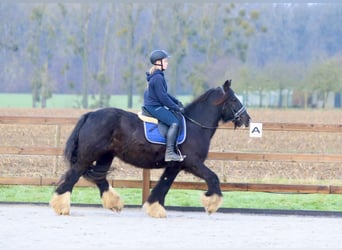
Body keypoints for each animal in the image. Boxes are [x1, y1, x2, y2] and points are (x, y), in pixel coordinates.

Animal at [49, 79, 250, 217]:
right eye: (233, 100)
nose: (247, 119)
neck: (195, 125)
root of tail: (90, 115)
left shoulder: (175, 166)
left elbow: (163, 186)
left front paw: (155, 208)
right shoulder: (193, 163)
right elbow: (213, 178)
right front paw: (211, 202)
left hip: (105, 156)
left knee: (99, 177)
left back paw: (114, 203)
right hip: (87, 157)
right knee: (72, 177)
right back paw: (61, 206)